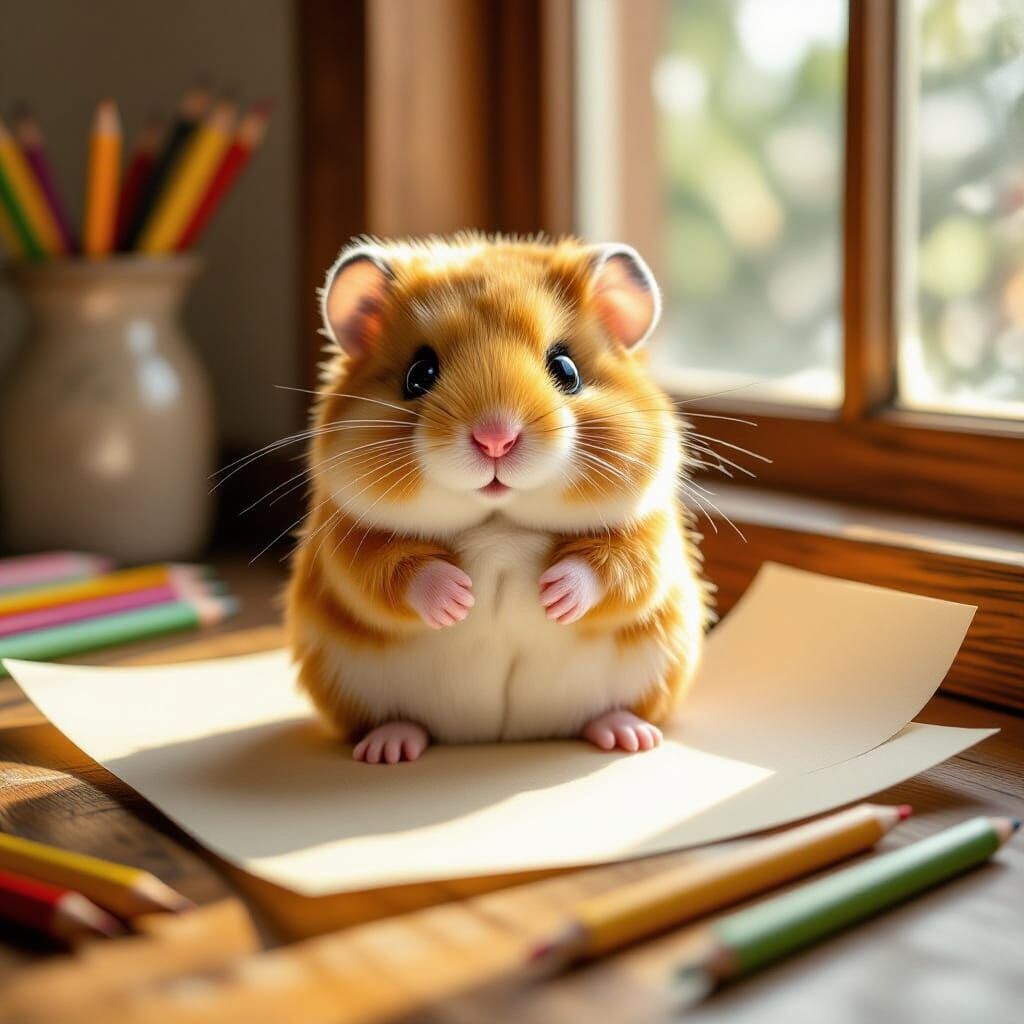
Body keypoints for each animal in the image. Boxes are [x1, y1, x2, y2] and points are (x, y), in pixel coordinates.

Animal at [285, 234, 711, 763]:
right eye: (418, 374)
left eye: (566, 370)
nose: (495, 439)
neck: (498, 523)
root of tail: (497, 735)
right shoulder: (346, 540)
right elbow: (392, 573)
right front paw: (459, 599)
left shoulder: (650, 534)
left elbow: (615, 569)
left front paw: (553, 595)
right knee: (393, 722)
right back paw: (389, 748)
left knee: (612, 712)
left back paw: (629, 736)